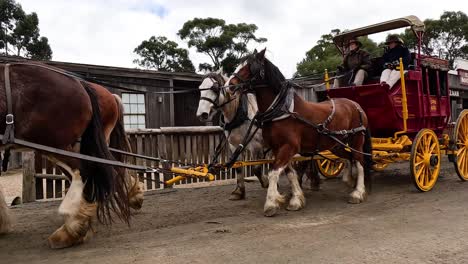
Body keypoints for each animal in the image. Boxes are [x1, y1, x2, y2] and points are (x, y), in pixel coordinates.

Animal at [196, 70, 324, 200]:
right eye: (200, 88)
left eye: (214, 88)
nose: (202, 114)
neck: (241, 115)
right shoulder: (234, 145)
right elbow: (238, 168)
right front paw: (239, 191)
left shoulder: (256, 146)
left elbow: (256, 168)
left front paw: (266, 182)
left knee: (308, 159)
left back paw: (306, 181)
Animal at [227, 49, 372, 217]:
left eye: (250, 68)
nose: (230, 85)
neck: (282, 111)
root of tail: (355, 105)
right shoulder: (278, 148)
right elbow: (290, 173)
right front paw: (296, 199)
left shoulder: (289, 147)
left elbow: (273, 172)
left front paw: (271, 203)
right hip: (337, 144)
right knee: (350, 158)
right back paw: (349, 180)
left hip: (357, 139)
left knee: (359, 161)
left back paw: (358, 192)